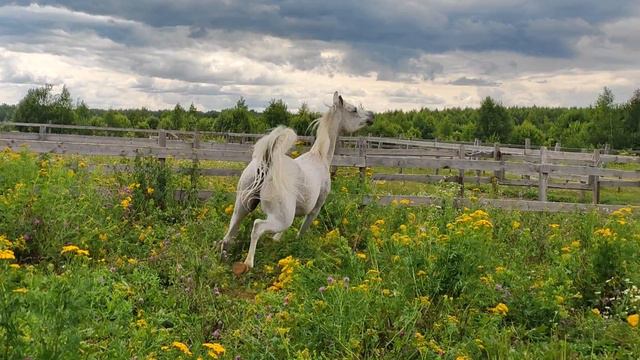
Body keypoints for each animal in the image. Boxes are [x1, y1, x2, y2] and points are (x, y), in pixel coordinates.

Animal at [220, 91, 372, 272]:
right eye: (353, 109)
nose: (371, 117)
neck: (319, 157)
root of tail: (267, 164)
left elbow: (279, 237)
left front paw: (276, 241)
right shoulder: (315, 209)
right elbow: (302, 231)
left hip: (242, 207)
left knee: (230, 232)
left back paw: (224, 255)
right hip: (281, 218)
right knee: (257, 227)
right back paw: (247, 264)